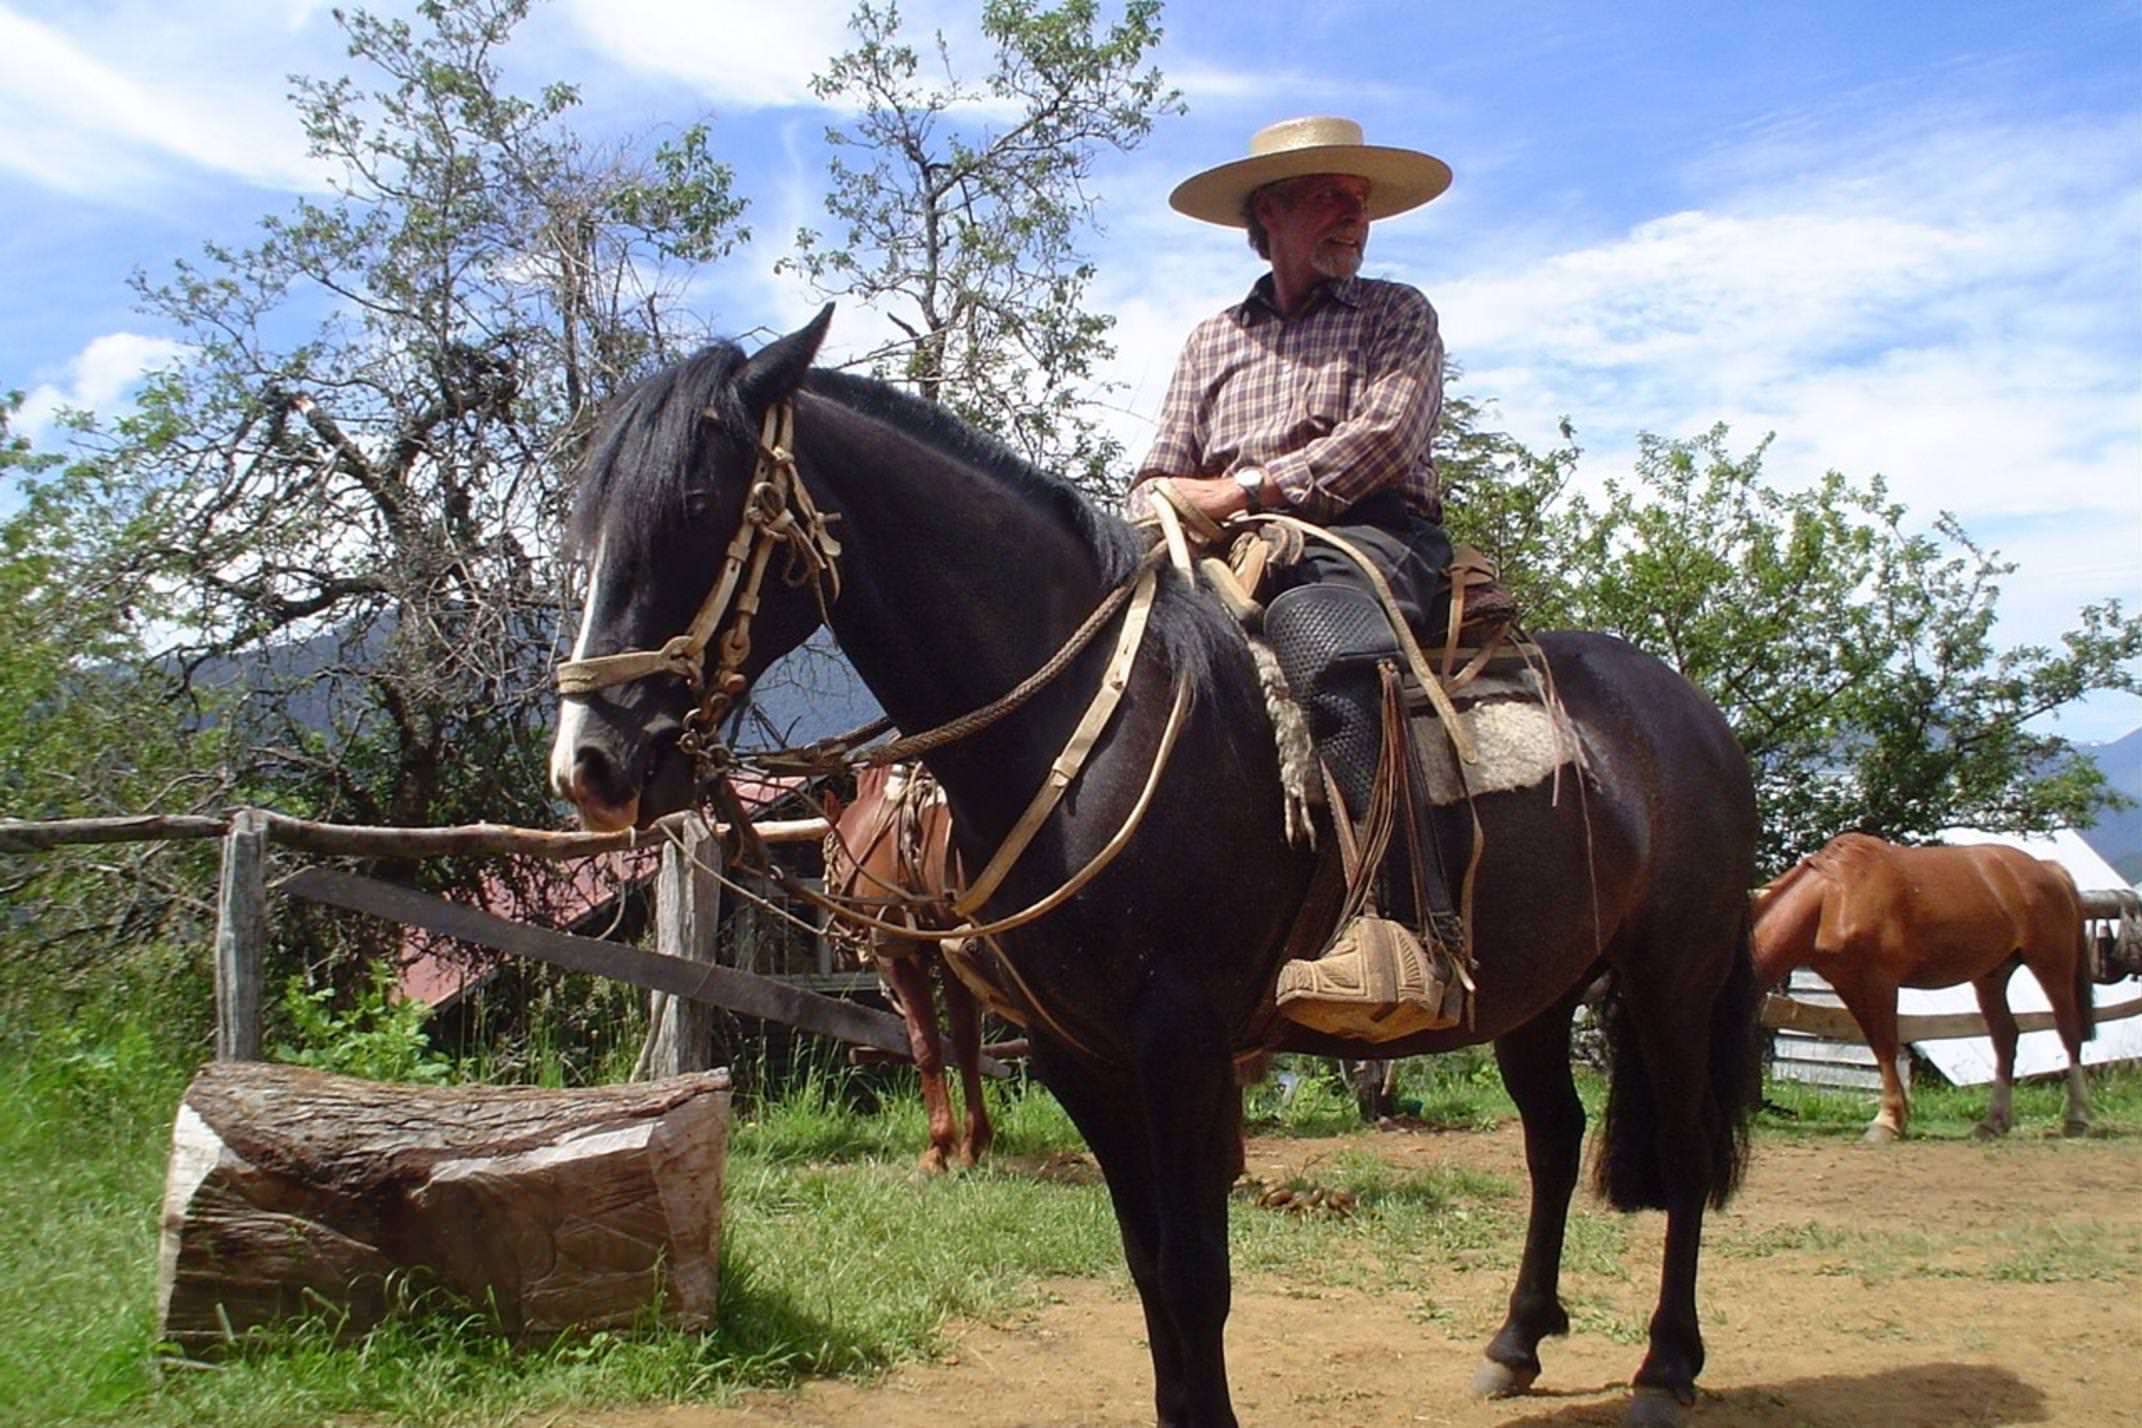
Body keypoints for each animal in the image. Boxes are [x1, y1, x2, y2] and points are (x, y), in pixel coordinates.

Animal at [818, 757, 993, 1173]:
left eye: (825, 858)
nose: (839, 941)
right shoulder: (950, 949)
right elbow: (965, 1041)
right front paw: (972, 1143)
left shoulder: (899, 952)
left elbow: (925, 1043)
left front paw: (938, 1147)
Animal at [1756, 830, 2090, 1147]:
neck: (1833, 896)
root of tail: (2049, 870)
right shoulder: (1849, 985)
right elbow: (1877, 1045)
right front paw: (1899, 1116)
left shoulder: (1880, 981)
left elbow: (1887, 1046)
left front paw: (1887, 1122)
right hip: (1992, 975)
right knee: (2005, 1038)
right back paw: (1992, 1123)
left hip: (2051, 966)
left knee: (2069, 1032)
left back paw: (2076, 1119)